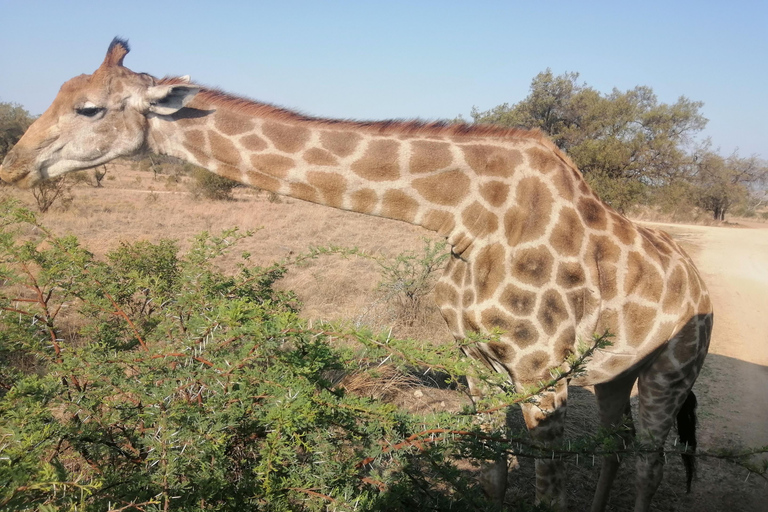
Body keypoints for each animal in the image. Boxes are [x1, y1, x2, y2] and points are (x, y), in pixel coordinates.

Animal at [0, 39, 712, 508]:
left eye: (89, 109)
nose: (12, 165)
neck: (462, 214)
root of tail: (700, 285)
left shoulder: (542, 371)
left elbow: (544, 488)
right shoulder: (477, 362)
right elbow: (494, 472)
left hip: (672, 369)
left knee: (649, 459)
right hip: (617, 372)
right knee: (617, 444)